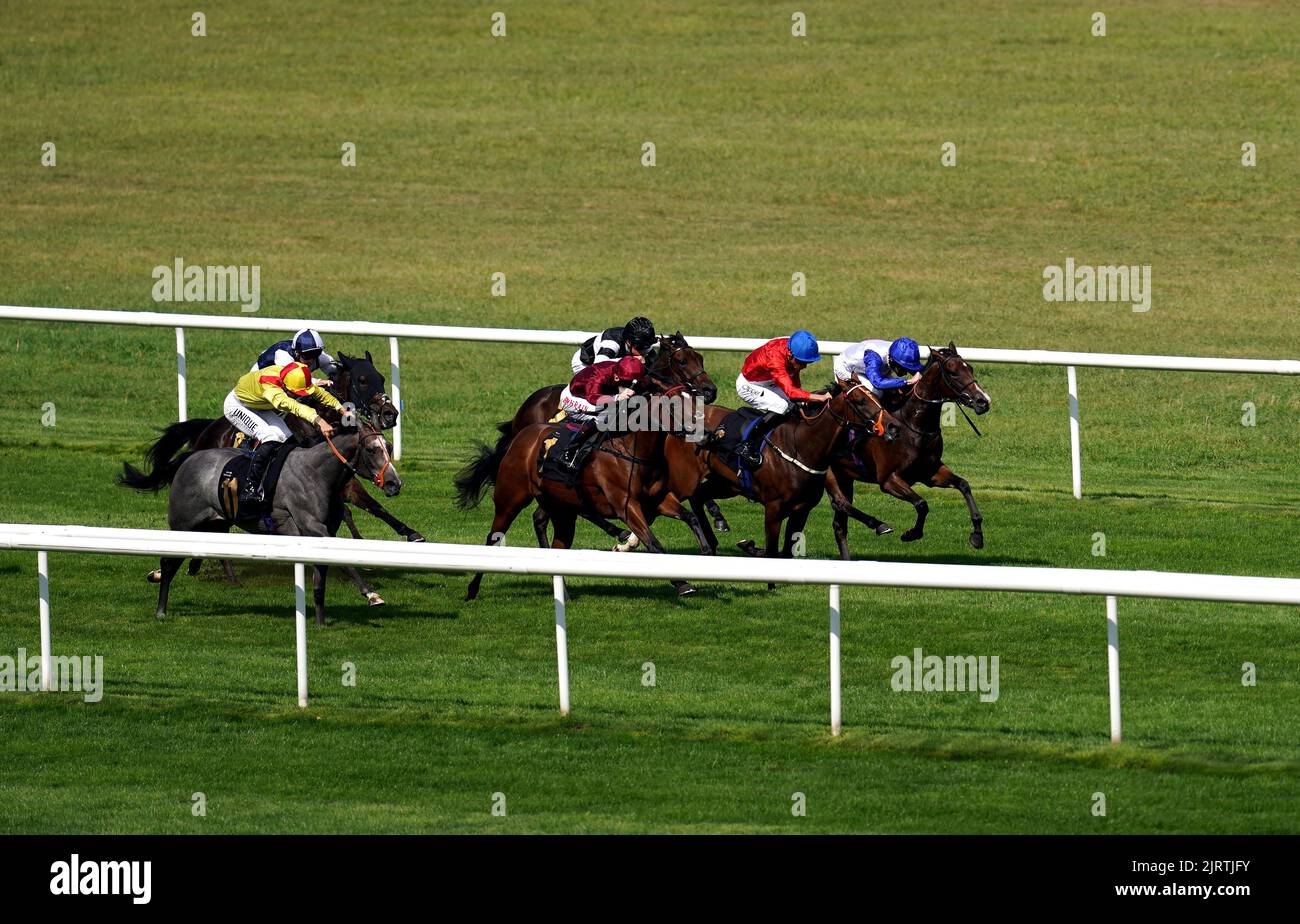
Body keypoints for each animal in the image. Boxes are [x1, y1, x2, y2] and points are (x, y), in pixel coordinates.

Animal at [826, 340, 987, 556]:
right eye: (953, 372)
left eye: (970, 368)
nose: (983, 401)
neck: (913, 424)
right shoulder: (888, 479)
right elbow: (922, 504)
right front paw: (911, 533)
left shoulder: (929, 472)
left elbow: (964, 485)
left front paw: (977, 535)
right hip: (829, 473)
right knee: (840, 503)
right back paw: (879, 525)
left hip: (845, 475)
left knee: (840, 525)